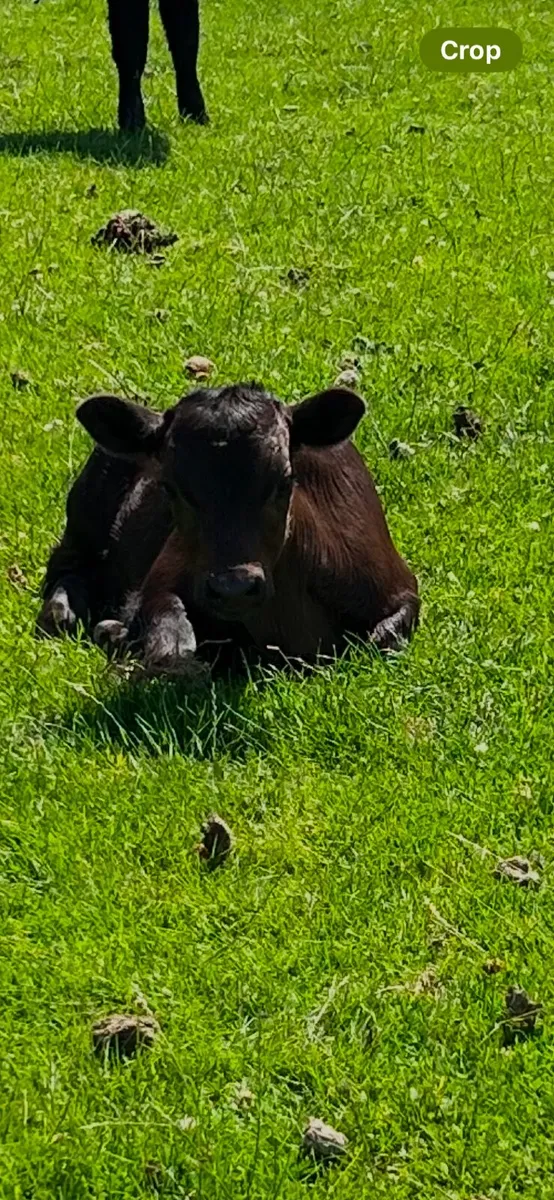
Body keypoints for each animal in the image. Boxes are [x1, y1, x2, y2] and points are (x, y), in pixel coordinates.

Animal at [36, 384, 420, 675]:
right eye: (170, 487)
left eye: (285, 480)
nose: (234, 588)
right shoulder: (161, 576)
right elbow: (168, 634)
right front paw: (131, 640)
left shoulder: (400, 589)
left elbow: (383, 638)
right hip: (85, 514)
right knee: (65, 570)